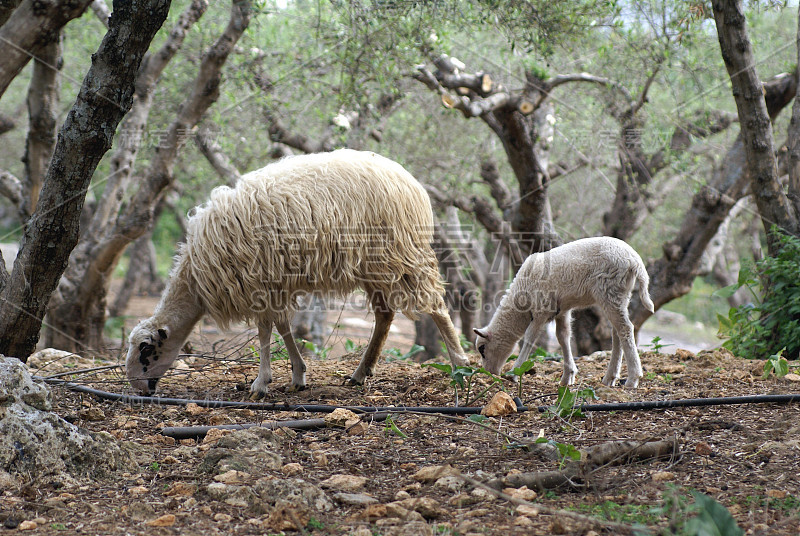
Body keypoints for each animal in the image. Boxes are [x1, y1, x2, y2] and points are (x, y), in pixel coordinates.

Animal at [126, 149, 472, 396]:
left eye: (146, 350)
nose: (136, 388)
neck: (196, 279)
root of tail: (412, 183)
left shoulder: (257, 282)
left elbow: (266, 332)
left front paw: (261, 383)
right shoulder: (273, 284)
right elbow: (282, 327)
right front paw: (297, 375)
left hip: (401, 252)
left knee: (435, 305)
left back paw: (460, 364)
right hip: (374, 264)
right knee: (385, 315)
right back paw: (360, 374)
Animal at [472, 237, 652, 388]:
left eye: (482, 349)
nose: (489, 373)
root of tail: (635, 260)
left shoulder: (542, 308)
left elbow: (529, 339)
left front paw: (514, 373)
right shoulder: (561, 311)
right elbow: (563, 337)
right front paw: (568, 376)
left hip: (609, 289)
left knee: (625, 328)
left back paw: (633, 378)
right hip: (620, 295)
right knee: (617, 332)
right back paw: (610, 377)